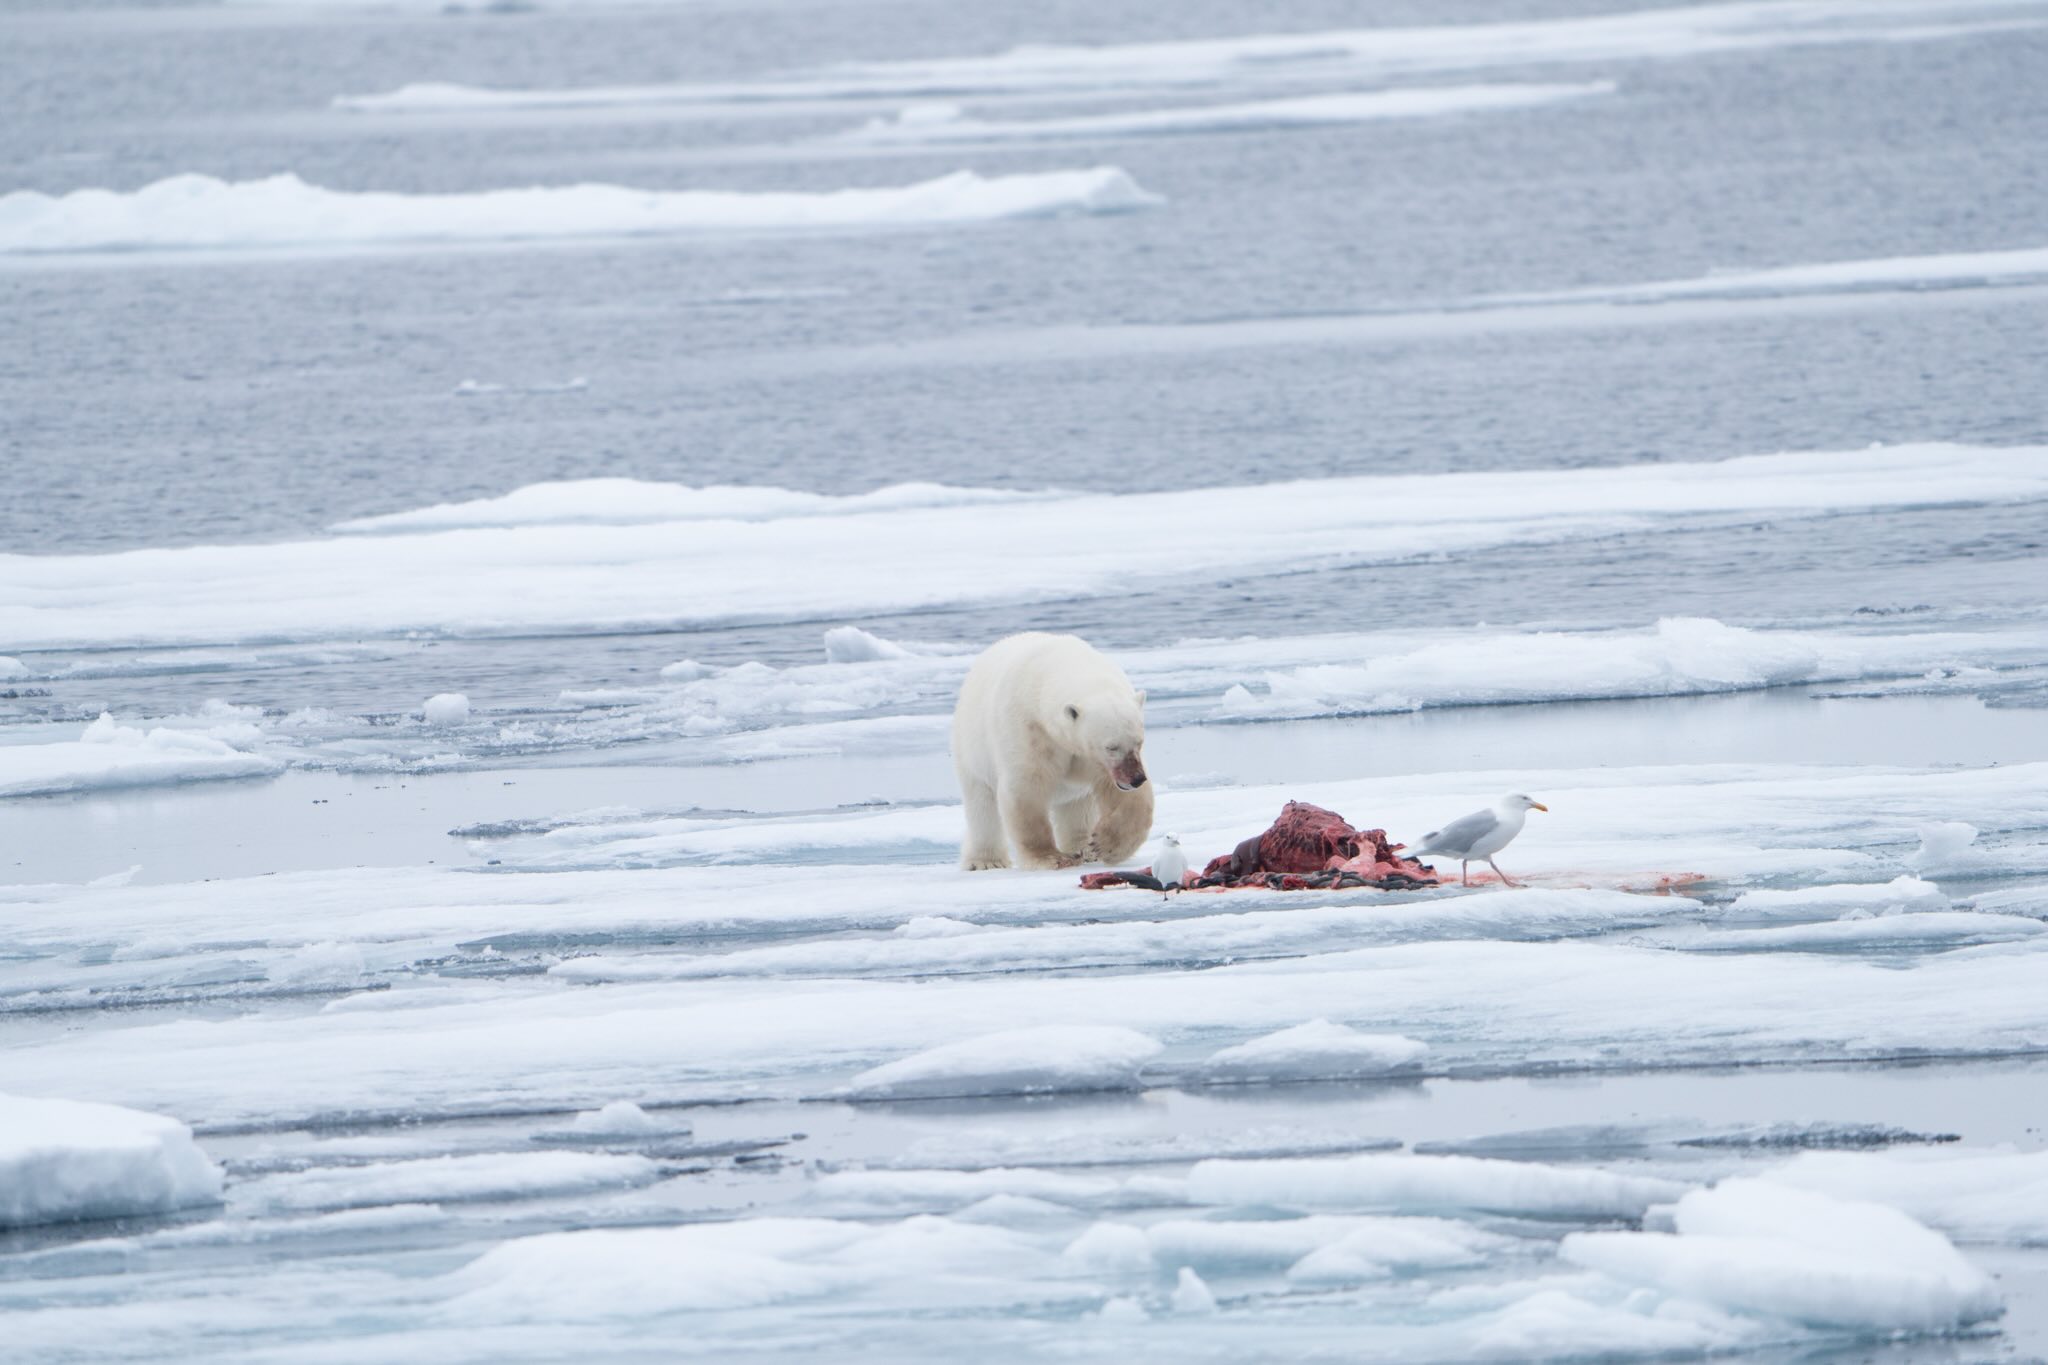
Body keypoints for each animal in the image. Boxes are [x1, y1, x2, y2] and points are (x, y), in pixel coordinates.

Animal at [951, 632, 1153, 871]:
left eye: (1139, 742)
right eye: (1111, 747)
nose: (1136, 779)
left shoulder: (1092, 758)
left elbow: (1125, 797)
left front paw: (1105, 846)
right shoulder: (1028, 730)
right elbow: (1026, 788)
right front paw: (1050, 858)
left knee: (1077, 806)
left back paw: (1083, 849)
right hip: (971, 749)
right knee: (982, 806)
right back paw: (985, 861)